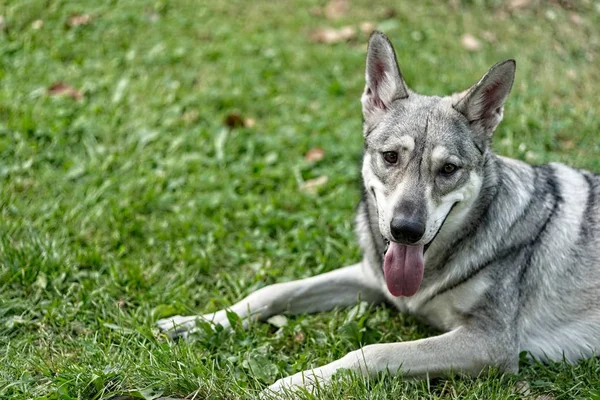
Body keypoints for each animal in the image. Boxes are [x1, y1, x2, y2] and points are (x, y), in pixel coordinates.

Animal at [156, 32, 600, 394]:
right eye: (390, 157)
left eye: (448, 170)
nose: (406, 230)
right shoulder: (371, 277)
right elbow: (272, 292)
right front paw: (197, 322)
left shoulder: (491, 344)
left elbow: (373, 352)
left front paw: (296, 384)